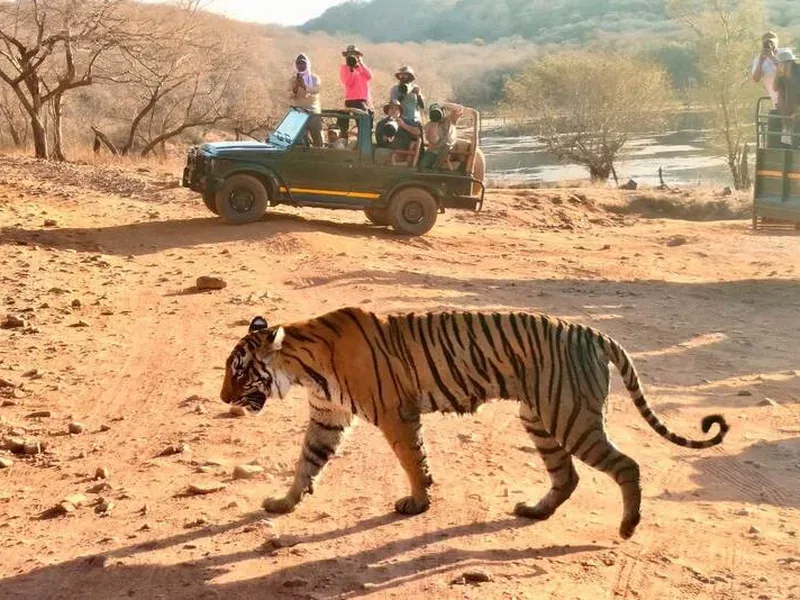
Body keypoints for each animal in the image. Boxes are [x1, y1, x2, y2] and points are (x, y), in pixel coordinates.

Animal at [220, 307, 729, 539]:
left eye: (239, 371)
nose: (223, 398)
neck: (303, 368)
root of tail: (594, 331)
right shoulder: (328, 417)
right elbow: (306, 461)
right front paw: (283, 503)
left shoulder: (395, 414)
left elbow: (412, 460)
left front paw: (417, 502)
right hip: (540, 417)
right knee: (567, 476)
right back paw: (535, 510)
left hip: (570, 417)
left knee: (626, 466)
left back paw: (627, 527)